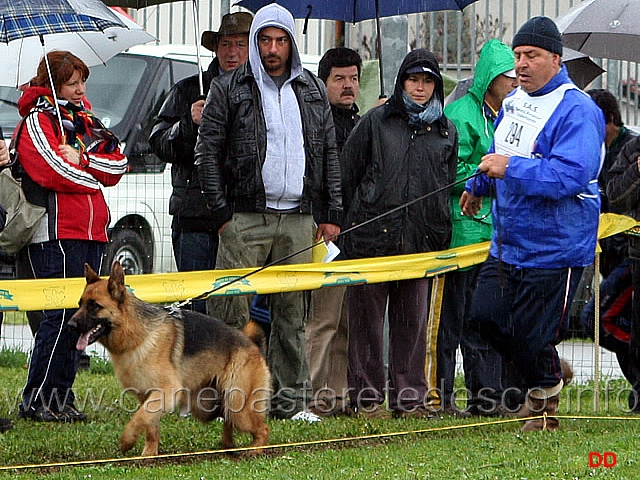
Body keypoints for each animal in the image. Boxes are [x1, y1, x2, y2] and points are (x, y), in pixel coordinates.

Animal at [67, 260, 270, 456]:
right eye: (80, 304)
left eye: (94, 306)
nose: (70, 325)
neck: (137, 333)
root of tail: (252, 344)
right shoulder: (149, 396)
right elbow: (149, 423)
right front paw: (150, 452)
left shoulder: (167, 391)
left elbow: (139, 417)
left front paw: (127, 440)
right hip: (206, 405)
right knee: (229, 422)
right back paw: (228, 446)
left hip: (238, 406)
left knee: (263, 429)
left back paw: (254, 450)